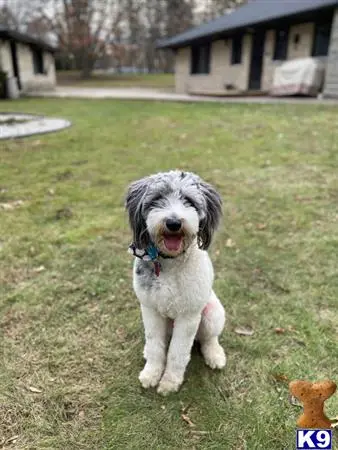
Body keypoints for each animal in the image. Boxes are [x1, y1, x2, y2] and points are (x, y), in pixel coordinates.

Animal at [125, 169, 226, 394]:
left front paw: (170, 382)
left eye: (189, 201)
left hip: (211, 313)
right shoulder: (150, 309)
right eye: (157, 199)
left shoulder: (188, 317)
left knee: (208, 338)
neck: (169, 262)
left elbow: (177, 353)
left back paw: (215, 355)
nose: (173, 223)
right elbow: (156, 346)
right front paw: (151, 374)